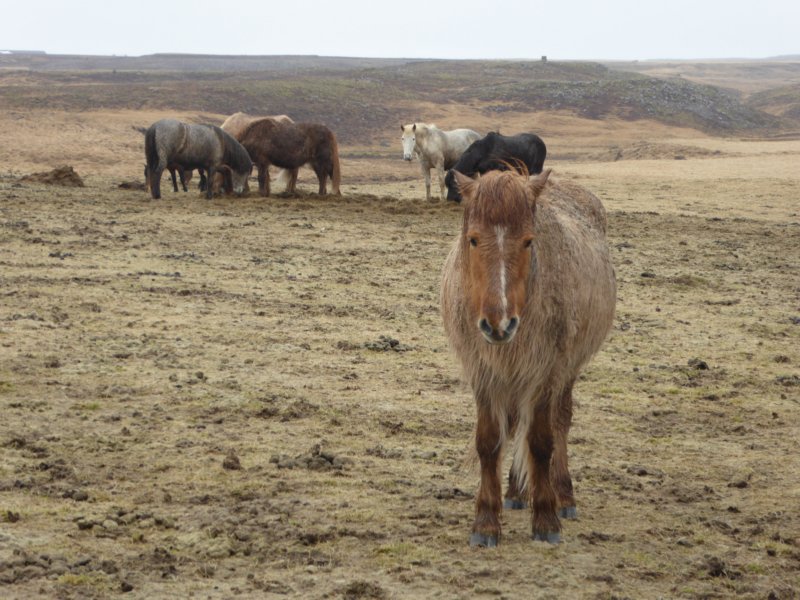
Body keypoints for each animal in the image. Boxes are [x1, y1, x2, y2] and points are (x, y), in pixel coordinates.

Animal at [440, 166, 616, 548]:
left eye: (528, 241)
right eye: (473, 239)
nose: (499, 323)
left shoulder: (545, 375)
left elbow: (541, 441)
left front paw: (546, 518)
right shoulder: (484, 374)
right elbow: (490, 442)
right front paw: (486, 521)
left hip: (566, 372)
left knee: (560, 423)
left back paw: (563, 495)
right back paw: (516, 492)